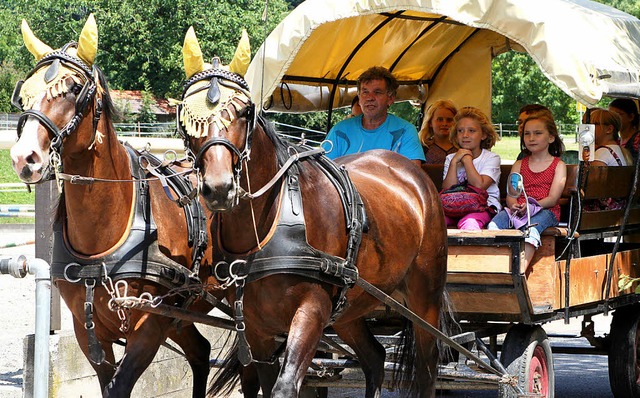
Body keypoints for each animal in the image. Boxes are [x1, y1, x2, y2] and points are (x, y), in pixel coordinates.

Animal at [8, 14, 220, 396]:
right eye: (25, 91)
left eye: (74, 88)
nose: (23, 157)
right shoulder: (87, 329)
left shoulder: (150, 323)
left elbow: (121, 385)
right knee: (201, 351)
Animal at [179, 30, 450, 394]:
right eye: (186, 117)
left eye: (245, 111)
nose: (220, 187)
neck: (269, 223)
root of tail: (413, 174)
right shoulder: (257, 328)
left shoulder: (312, 310)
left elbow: (284, 386)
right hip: (350, 307)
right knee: (374, 357)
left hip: (425, 299)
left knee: (426, 368)